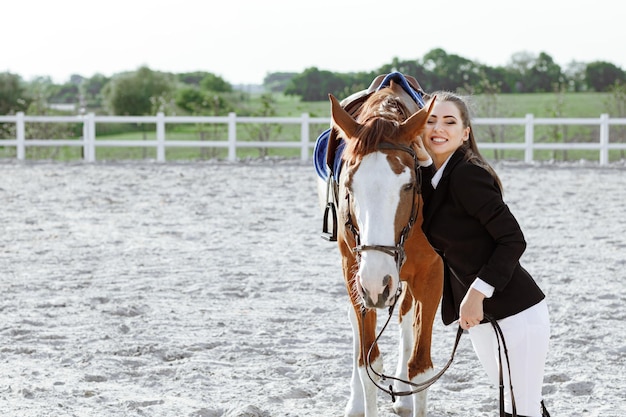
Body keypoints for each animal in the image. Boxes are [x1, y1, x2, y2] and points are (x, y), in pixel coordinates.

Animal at [316, 79, 444, 416]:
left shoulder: (431, 276)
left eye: (409, 185)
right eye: (349, 185)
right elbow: (367, 363)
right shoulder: (356, 274)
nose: (377, 283)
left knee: (405, 319)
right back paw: (355, 402)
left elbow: (420, 367)